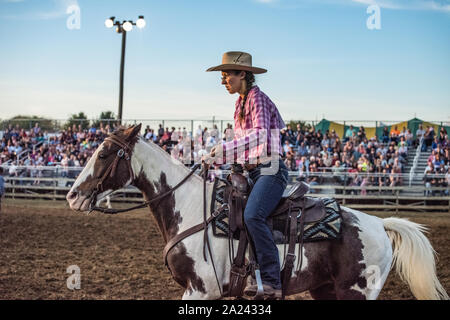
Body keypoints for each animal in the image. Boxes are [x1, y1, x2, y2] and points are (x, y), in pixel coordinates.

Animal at [65, 125, 448, 300]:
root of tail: (380, 223)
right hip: (326, 290)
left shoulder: (201, 289)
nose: (72, 195)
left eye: (103, 153)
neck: (189, 208)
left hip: (356, 293)